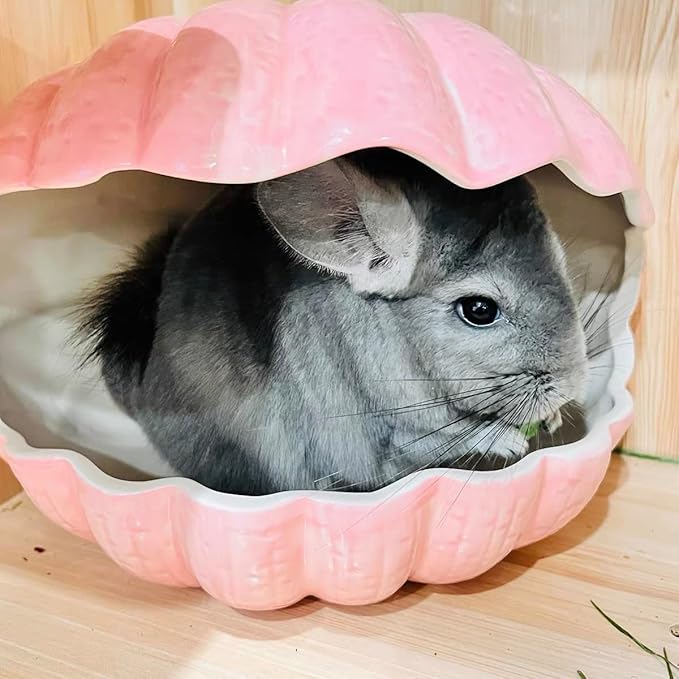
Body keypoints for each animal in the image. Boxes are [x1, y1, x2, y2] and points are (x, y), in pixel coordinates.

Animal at [76, 149, 587, 495]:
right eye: (479, 310)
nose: (570, 386)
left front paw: (550, 418)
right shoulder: (384, 434)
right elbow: (434, 440)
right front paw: (508, 440)